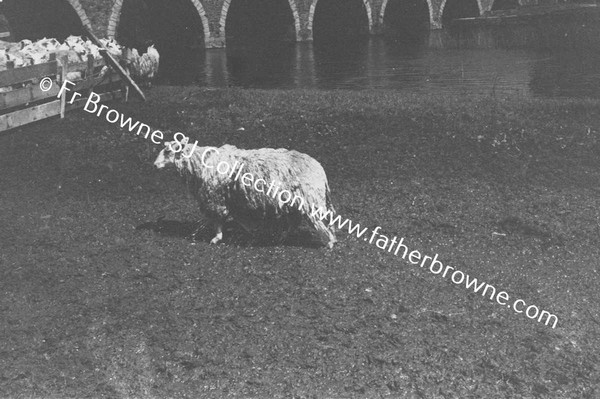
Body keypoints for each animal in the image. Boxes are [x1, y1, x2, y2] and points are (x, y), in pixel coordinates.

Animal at [154, 141, 338, 247]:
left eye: (167, 151)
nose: (155, 165)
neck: (199, 162)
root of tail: (320, 171)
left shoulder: (215, 198)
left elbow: (218, 219)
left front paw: (216, 238)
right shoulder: (231, 200)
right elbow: (237, 219)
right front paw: (251, 232)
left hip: (309, 199)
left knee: (317, 222)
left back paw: (329, 242)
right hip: (294, 202)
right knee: (295, 221)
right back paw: (282, 236)